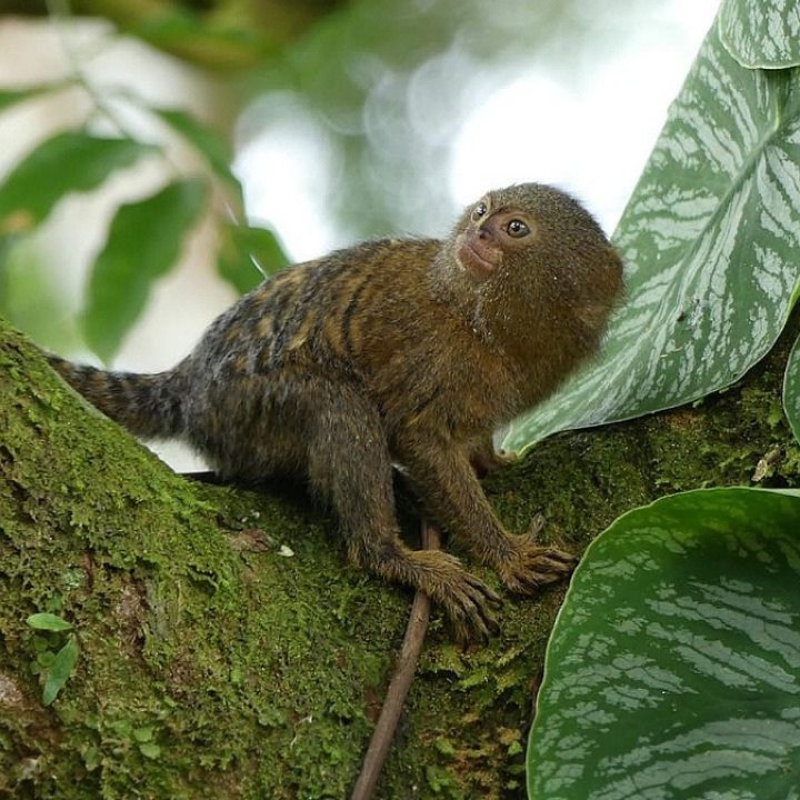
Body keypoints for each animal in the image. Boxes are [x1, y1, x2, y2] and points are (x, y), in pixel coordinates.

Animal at [47, 183, 624, 641]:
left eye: (515, 227)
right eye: (482, 212)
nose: (478, 234)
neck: (489, 327)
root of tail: (189, 384)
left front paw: (490, 461)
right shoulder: (431, 352)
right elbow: (419, 438)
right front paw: (505, 552)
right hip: (247, 408)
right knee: (339, 403)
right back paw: (393, 557)